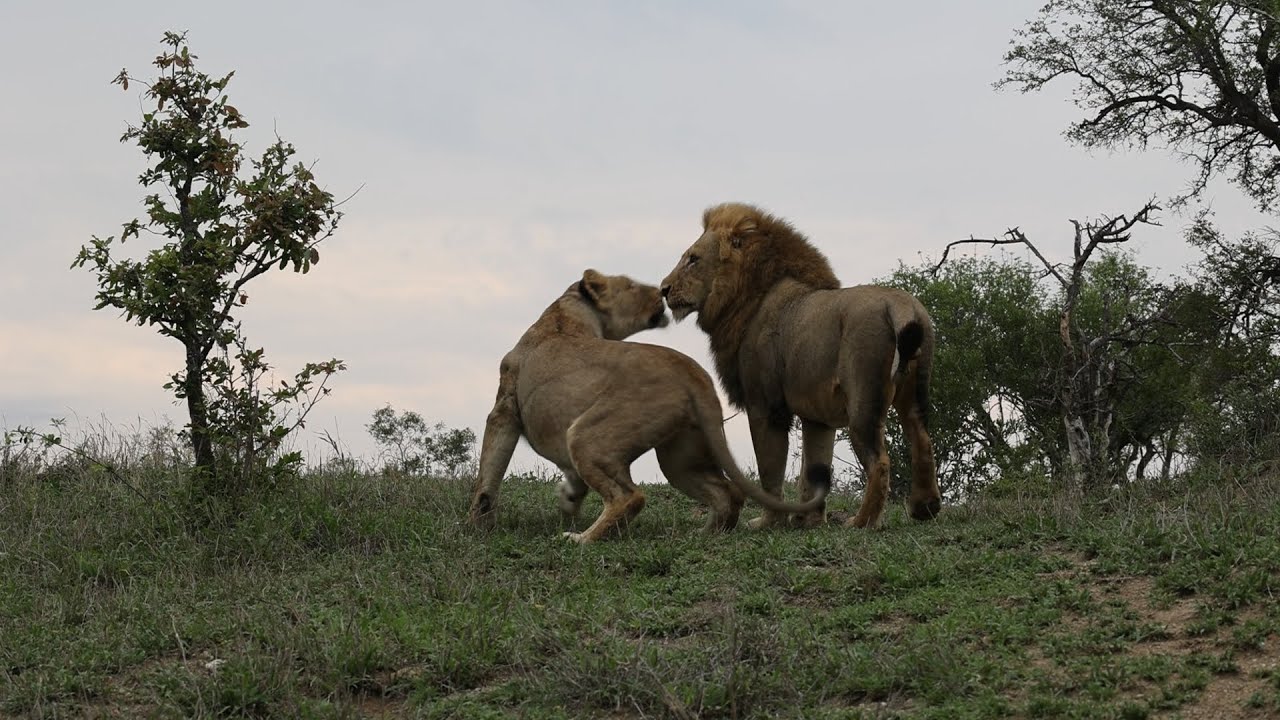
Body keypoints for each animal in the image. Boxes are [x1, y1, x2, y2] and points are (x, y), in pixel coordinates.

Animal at [468, 268, 830, 543]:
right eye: (630, 285)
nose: (661, 290)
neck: (566, 314)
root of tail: (694, 373)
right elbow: (569, 479)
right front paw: (569, 499)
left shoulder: (503, 408)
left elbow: (489, 469)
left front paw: (477, 522)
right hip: (679, 457)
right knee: (727, 492)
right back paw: (704, 534)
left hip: (586, 436)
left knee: (629, 497)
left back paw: (581, 539)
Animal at [660, 203, 942, 530]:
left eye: (693, 259)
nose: (663, 289)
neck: (745, 298)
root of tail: (901, 306)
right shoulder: (818, 416)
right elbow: (815, 468)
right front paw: (808, 520)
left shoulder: (765, 407)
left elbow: (769, 470)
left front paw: (768, 522)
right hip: (913, 396)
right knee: (923, 442)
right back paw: (924, 508)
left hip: (863, 401)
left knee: (880, 462)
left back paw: (861, 522)